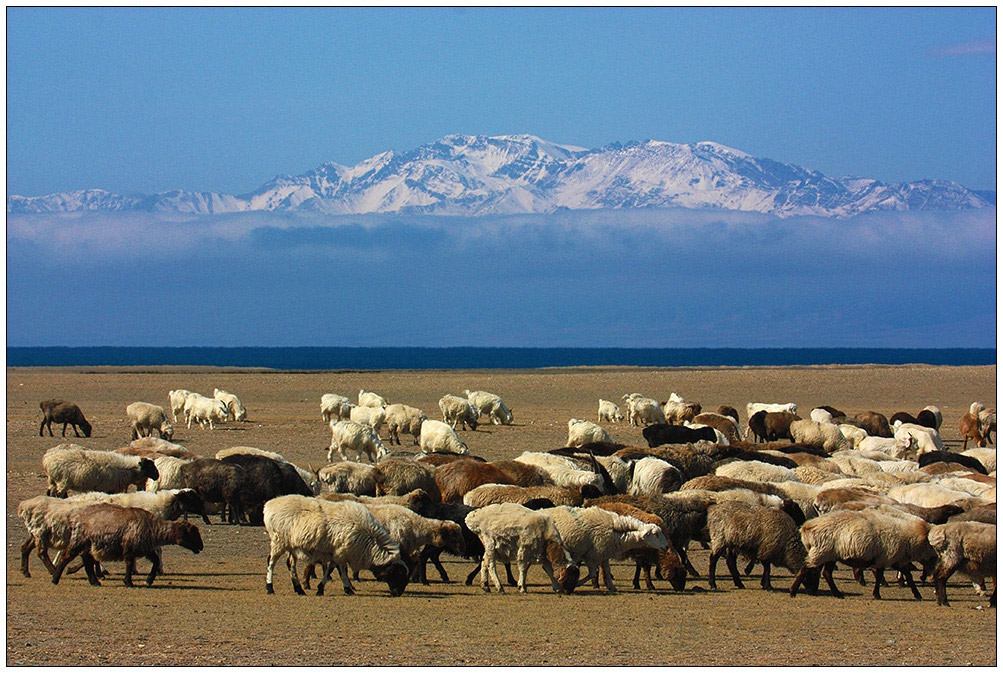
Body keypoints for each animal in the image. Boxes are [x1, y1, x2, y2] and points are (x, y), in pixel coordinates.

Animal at [50, 503, 203, 585]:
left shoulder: (145, 549)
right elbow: (129, 564)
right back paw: (55, 579)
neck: (153, 528)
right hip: (79, 541)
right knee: (66, 557)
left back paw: (94, 581)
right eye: (193, 533)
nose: (201, 547)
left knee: (87, 561)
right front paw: (128, 582)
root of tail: (75, 514)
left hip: (88, 545)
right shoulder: (129, 549)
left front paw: (149, 580)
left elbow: (155, 562)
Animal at [266, 497, 411, 597]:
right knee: (271, 562)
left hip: (291, 546)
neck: (369, 540)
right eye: (397, 574)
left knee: (291, 565)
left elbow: (336, 569)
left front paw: (342, 588)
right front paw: (329, 588)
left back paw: (299, 589)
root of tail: (269, 505)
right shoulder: (340, 552)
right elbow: (336, 570)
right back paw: (270, 587)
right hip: (279, 541)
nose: (397, 593)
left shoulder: (338, 553)